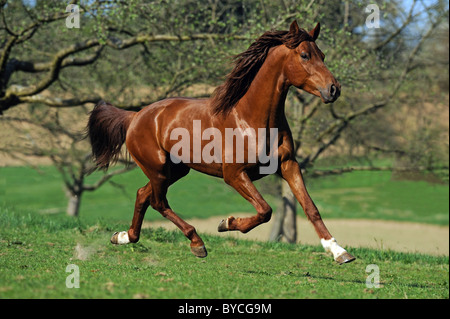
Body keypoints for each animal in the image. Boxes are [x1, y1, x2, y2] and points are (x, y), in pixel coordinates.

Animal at [87, 20, 356, 264]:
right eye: (304, 55)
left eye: (322, 55)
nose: (334, 89)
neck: (250, 118)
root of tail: (135, 116)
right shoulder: (234, 174)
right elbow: (265, 210)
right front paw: (226, 223)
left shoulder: (288, 164)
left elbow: (310, 208)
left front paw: (339, 252)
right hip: (158, 169)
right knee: (158, 201)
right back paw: (197, 243)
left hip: (175, 170)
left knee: (143, 194)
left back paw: (124, 237)